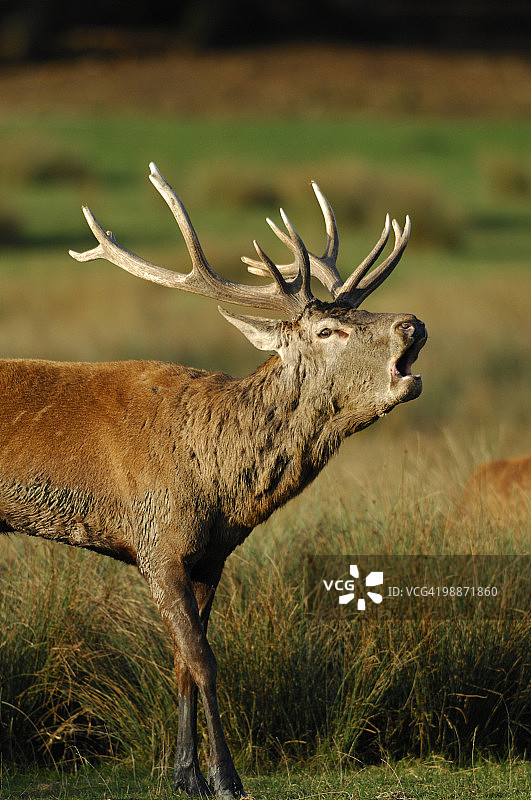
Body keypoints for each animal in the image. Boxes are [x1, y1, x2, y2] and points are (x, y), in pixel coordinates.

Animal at [0, 163, 427, 798]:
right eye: (328, 330)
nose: (413, 323)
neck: (220, 488)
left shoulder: (210, 558)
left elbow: (182, 661)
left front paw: (185, 774)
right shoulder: (157, 543)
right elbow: (203, 660)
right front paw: (227, 777)